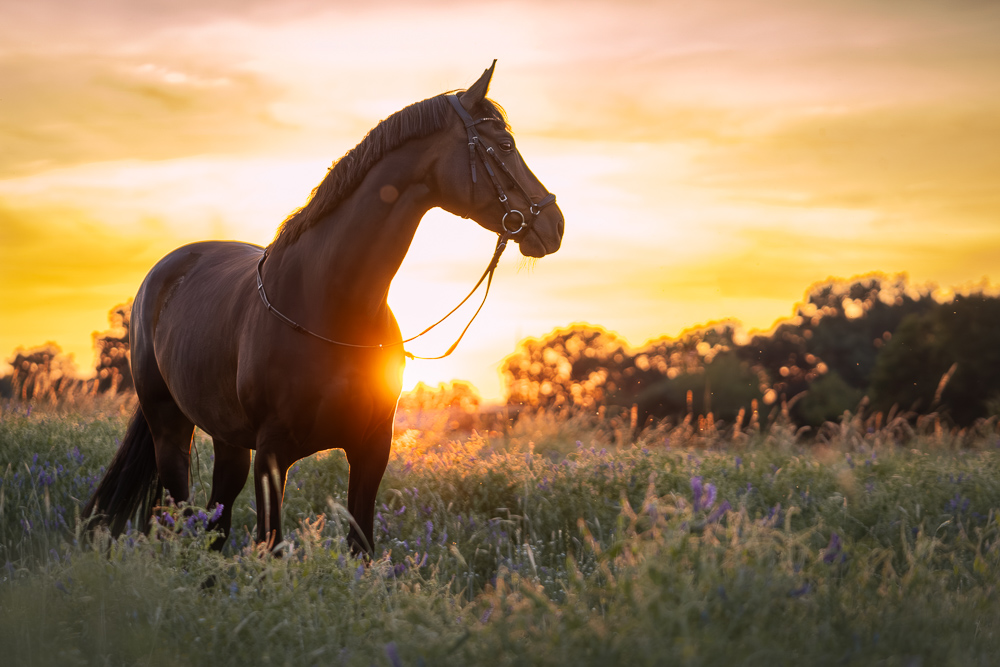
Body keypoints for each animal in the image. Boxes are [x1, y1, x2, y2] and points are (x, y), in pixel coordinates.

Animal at [82, 62, 564, 556]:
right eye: (504, 146)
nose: (554, 223)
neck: (332, 306)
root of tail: (163, 273)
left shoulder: (372, 448)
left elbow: (361, 546)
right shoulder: (273, 454)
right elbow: (271, 547)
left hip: (228, 440)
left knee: (216, 521)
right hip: (170, 429)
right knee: (182, 517)